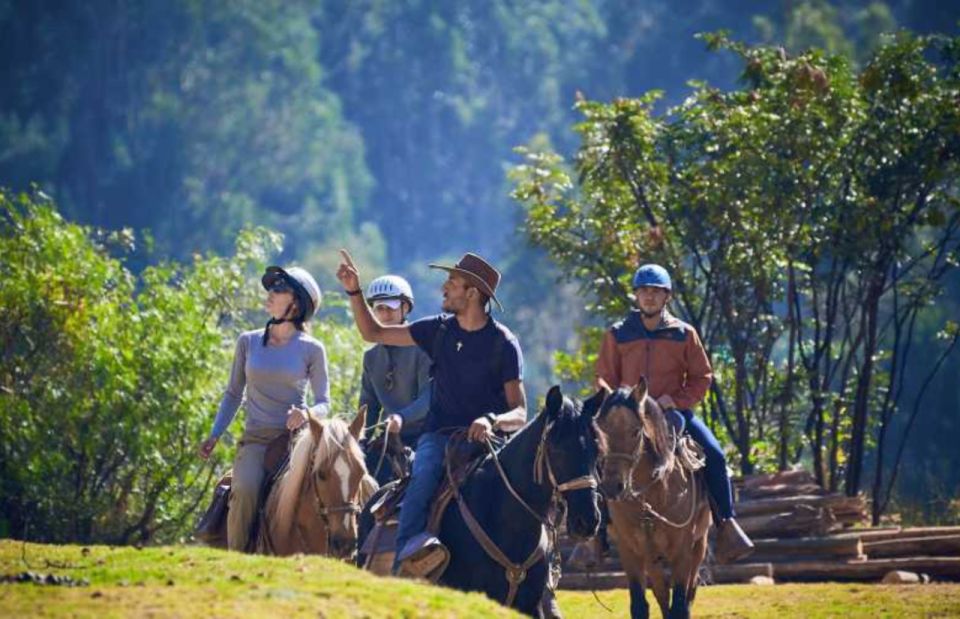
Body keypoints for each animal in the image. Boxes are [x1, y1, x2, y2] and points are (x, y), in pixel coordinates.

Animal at [600, 378, 712, 619]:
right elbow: (640, 605)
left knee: (691, 589)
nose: (612, 487)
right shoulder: (630, 551)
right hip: (652, 559)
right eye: (601, 430)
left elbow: (680, 605)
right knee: (662, 594)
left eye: (635, 431)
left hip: (699, 544)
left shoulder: (682, 552)